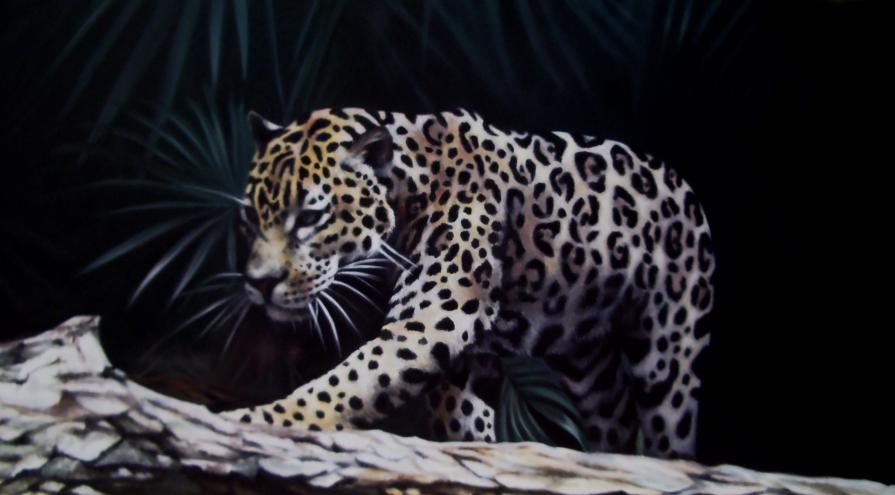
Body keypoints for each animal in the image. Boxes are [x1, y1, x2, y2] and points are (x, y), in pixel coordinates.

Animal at [224, 107, 715, 459]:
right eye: (250, 217)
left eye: (310, 217)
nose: (259, 283)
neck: (409, 183)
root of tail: (683, 185)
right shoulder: (456, 351)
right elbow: (459, 417)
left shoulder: (436, 315)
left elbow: (343, 385)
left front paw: (252, 420)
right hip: (588, 364)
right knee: (614, 421)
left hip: (667, 357)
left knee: (670, 428)